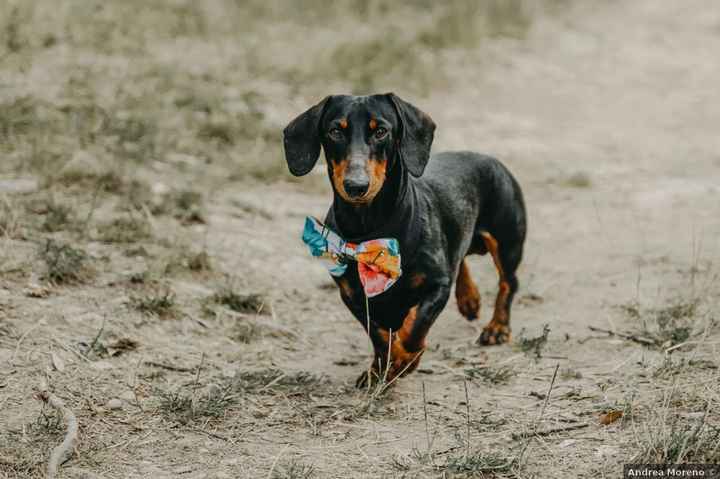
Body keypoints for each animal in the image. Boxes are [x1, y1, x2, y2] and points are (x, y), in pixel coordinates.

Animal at [284, 93, 524, 386]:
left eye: (381, 131)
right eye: (335, 131)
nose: (355, 186)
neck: (371, 230)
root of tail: (487, 158)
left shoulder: (437, 286)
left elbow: (414, 326)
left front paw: (404, 361)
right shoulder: (354, 297)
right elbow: (379, 337)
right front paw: (379, 370)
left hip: (507, 240)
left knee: (507, 283)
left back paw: (497, 327)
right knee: (461, 258)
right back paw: (469, 299)